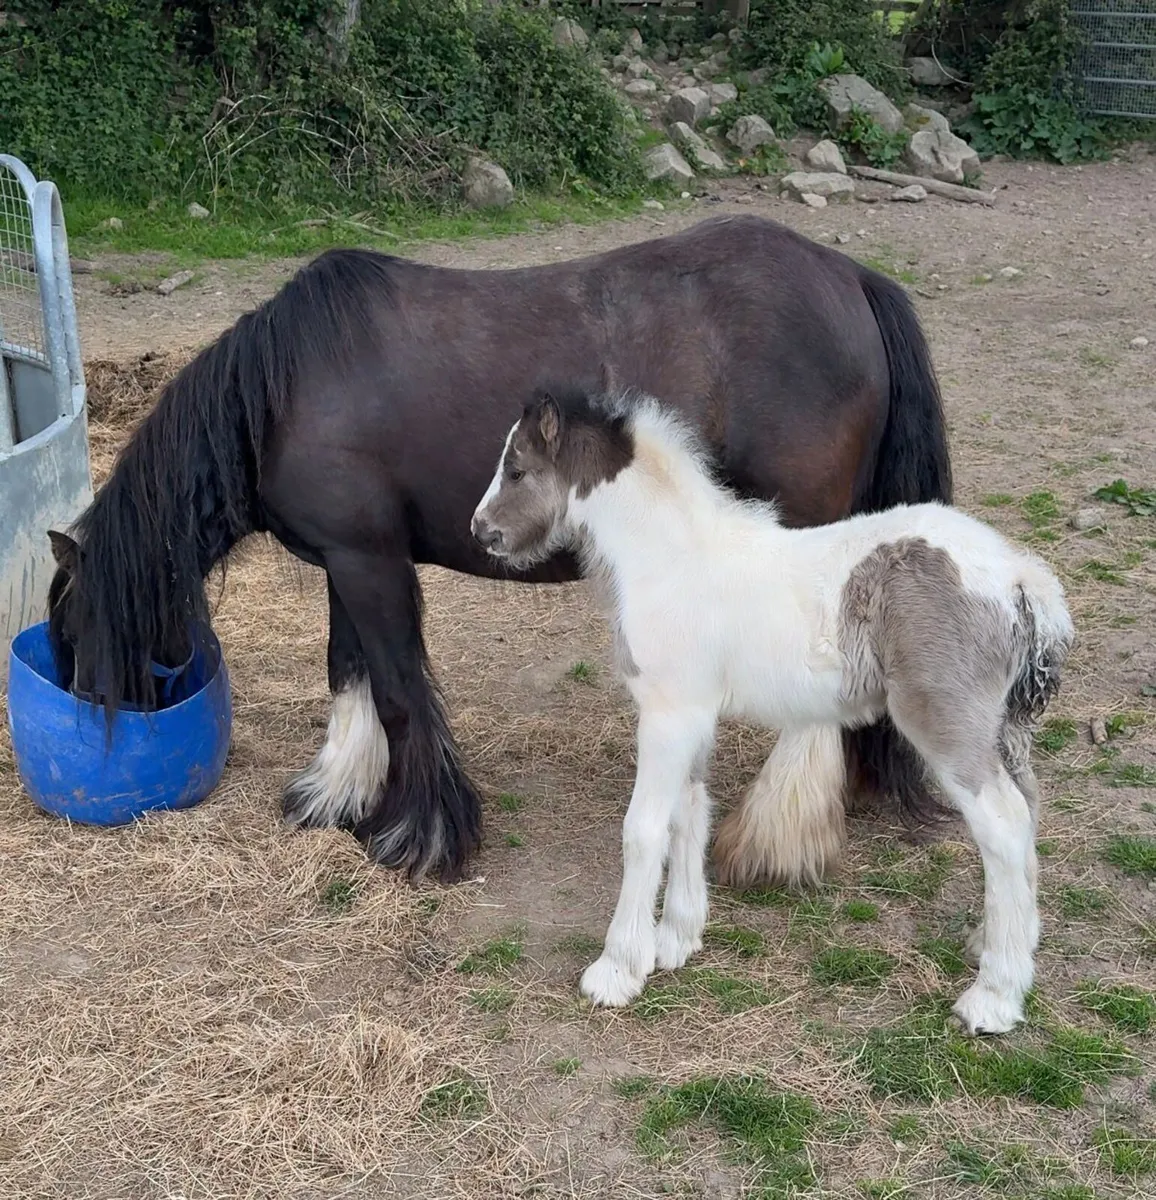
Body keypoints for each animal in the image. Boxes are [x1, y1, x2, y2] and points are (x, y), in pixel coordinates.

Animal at [46, 214, 952, 885]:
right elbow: (350, 673)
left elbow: (399, 690)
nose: (86, 709)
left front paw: (419, 837)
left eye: (72, 628)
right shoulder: (348, 559)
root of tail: (852, 279)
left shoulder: (370, 563)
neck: (286, 391)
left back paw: (775, 841)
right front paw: (338, 795)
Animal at [471, 387, 1073, 1035]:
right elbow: (689, 812)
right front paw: (677, 938)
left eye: (516, 469)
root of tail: (1020, 577)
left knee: (1004, 826)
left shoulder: (666, 716)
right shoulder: (692, 716)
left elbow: (643, 830)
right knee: (1029, 813)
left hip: (946, 726)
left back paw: (995, 995)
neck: (670, 558)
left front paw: (618, 968)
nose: (481, 529)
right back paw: (997, 943)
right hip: (1003, 729)